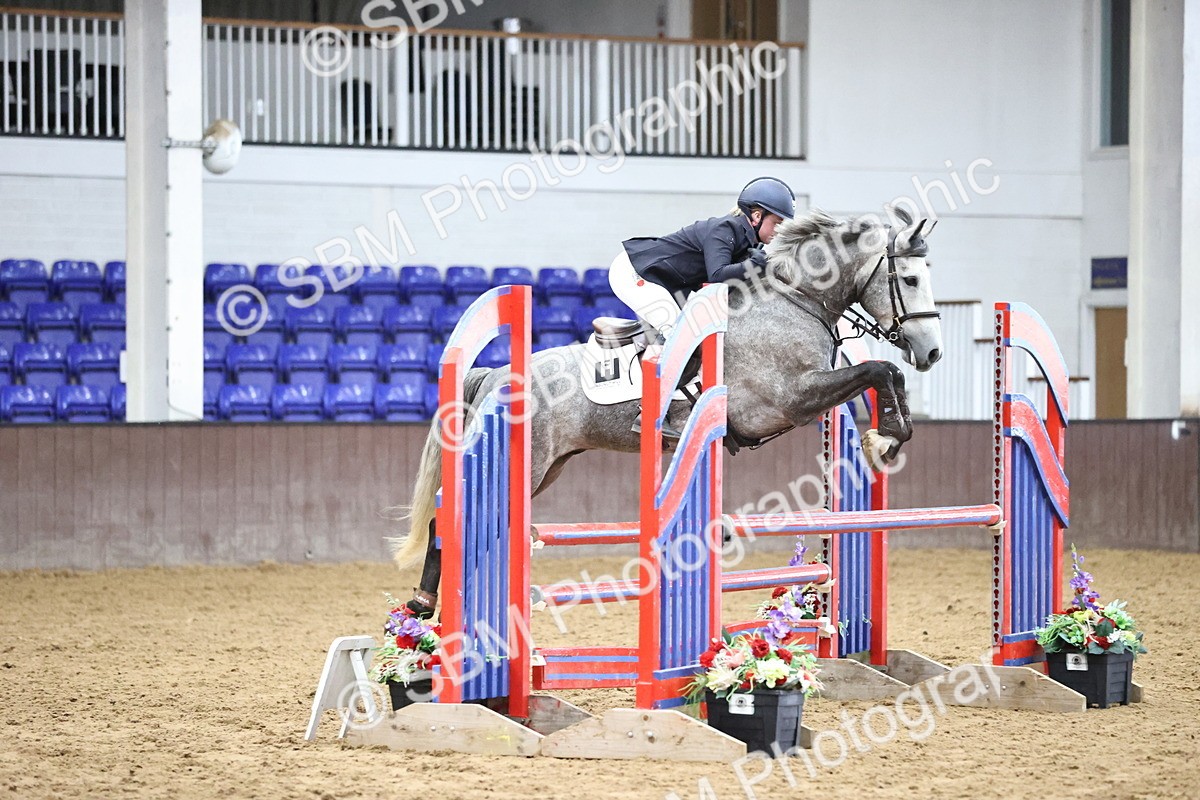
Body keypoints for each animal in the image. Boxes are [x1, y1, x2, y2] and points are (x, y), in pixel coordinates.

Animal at [393, 206, 943, 615]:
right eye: (910, 278)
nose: (932, 352)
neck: (797, 300)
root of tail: (496, 375)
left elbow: (882, 376)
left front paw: (887, 438)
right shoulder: (789, 399)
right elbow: (878, 369)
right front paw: (883, 438)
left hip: (548, 466)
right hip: (525, 462)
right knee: (448, 520)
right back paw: (424, 606)